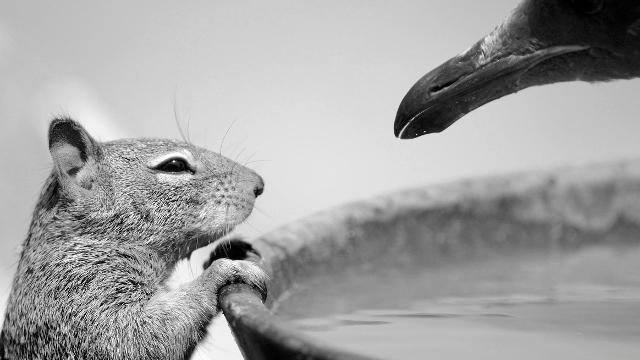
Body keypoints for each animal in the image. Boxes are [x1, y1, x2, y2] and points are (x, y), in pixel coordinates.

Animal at [0, 119, 268, 360]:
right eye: (174, 165)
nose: (258, 184)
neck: (95, 240)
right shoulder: (78, 297)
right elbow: (140, 337)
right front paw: (224, 271)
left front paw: (228, 251)